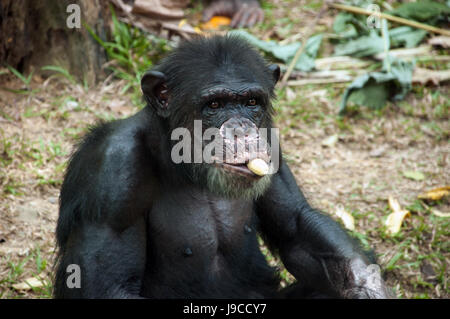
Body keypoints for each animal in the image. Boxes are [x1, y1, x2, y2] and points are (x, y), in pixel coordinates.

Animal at [54, 35, 392, 300]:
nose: (241, 129)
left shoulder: (272, 143)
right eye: (214, 105)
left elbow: (295, 227)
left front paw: (367, 287)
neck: (185, 165)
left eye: (252, 102)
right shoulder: (113, 173)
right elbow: (109, 285)